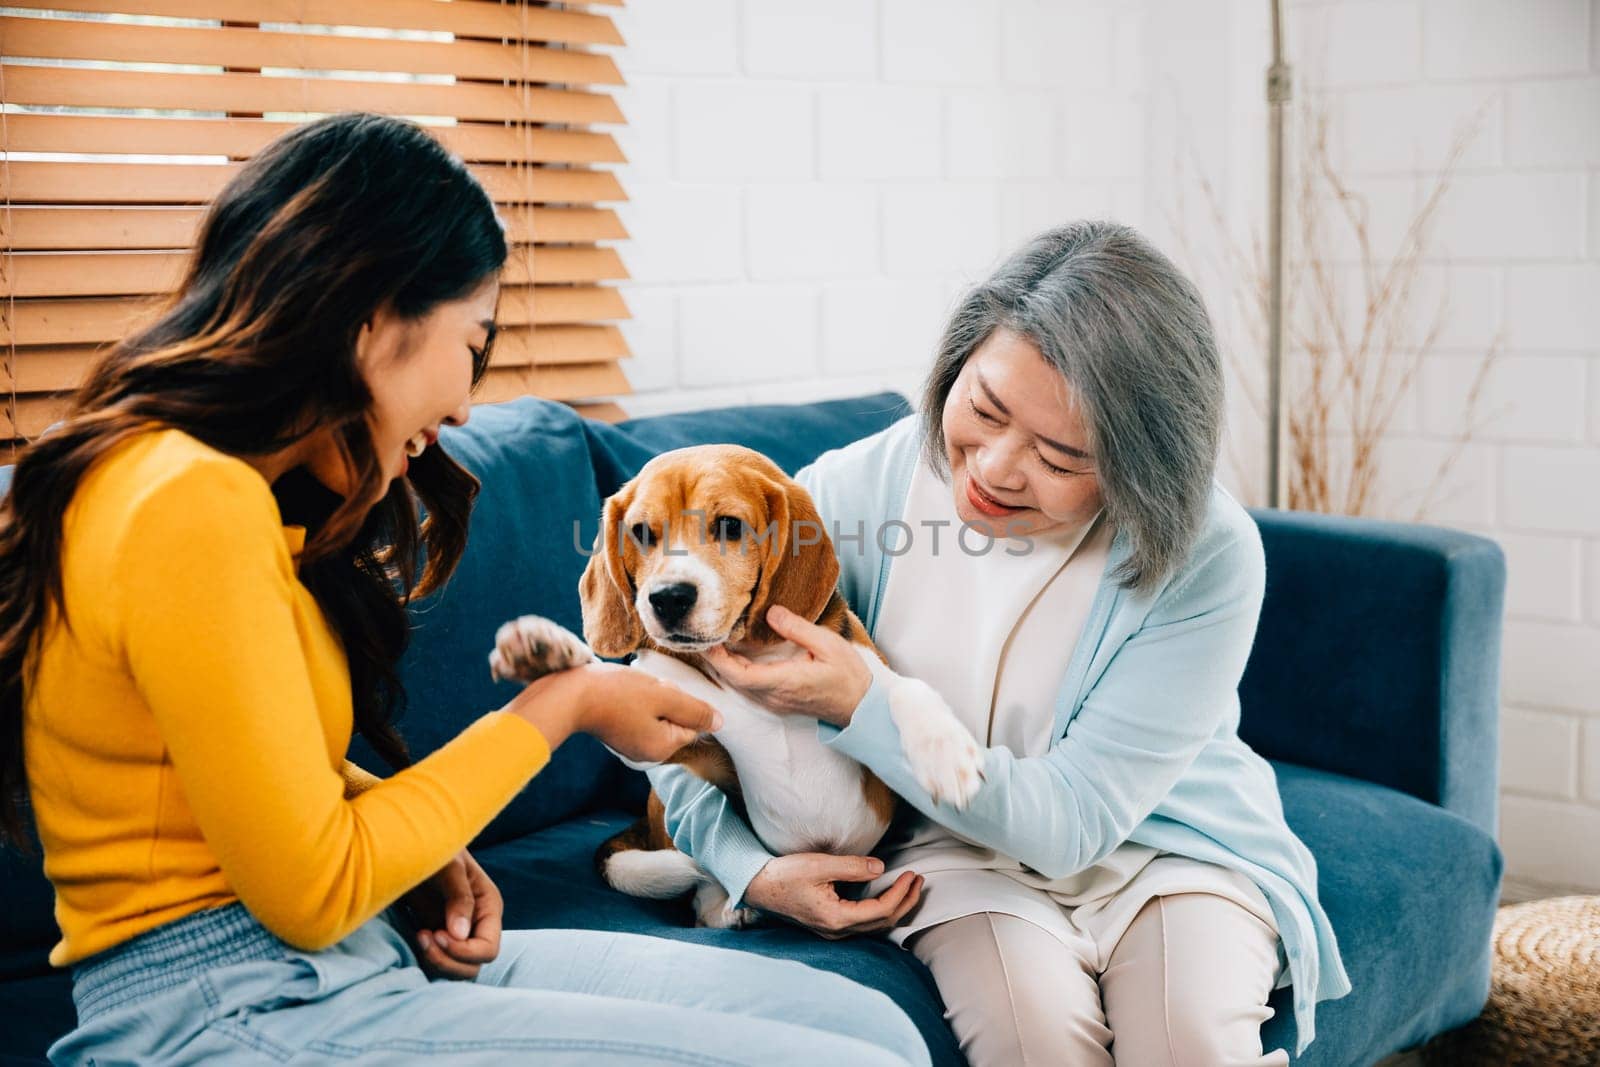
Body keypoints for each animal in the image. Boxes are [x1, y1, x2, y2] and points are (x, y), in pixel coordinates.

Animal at [486, 441, 985, 927]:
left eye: (728, 525)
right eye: (642, 532)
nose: (668, 598)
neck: (756, 655)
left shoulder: (860, 663)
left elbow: (906, 689)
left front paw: (945, 754)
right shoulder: (666, 731)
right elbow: (616, 685)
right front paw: (546, 651)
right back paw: (727, 905)